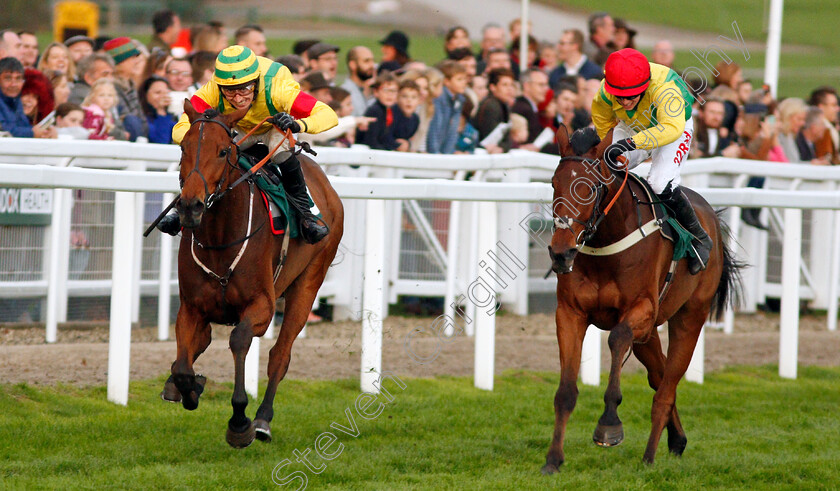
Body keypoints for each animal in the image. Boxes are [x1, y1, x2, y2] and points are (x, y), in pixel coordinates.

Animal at [166, 101, 342, 450]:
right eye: (183, 148)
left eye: (223, 151)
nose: (191, 206)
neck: (220, 240)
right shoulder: (191, 308)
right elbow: (183, 365)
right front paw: (189, 388)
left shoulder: (261, 305)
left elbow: (239, 340)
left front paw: (239, 421)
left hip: (308, 283)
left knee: (280, 355)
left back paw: (262, 420)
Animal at [540, 125, 740, 474]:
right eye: (554, 183)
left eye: (592, 187)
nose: (561, 252)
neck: (606, 243)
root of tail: (711, 218)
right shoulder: (570, 313)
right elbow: (565, 391)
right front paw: (553, 459)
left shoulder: (641, 309)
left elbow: (618, 338)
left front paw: (608, 424)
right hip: (648, 335)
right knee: (659, 377)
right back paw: (676, 439)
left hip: (689, 316)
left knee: (667, 387)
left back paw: (649, 456)